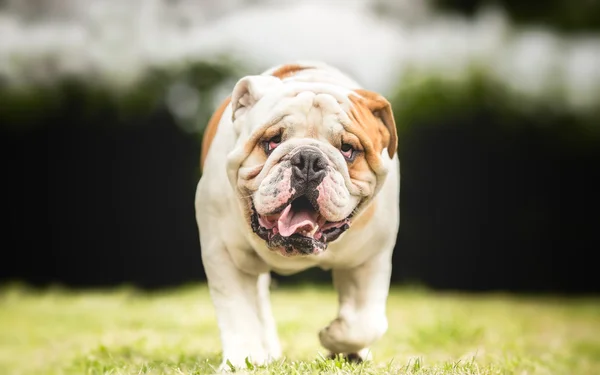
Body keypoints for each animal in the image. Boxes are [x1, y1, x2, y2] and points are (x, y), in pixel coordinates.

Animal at [196, 61, 398, 370]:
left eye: (347, 149)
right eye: (272, 141)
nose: (309, 159)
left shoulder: (371, 257)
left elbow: (366, 322)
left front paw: (334, 337)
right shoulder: (224, 253)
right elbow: (237, 311)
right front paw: (242, 361)